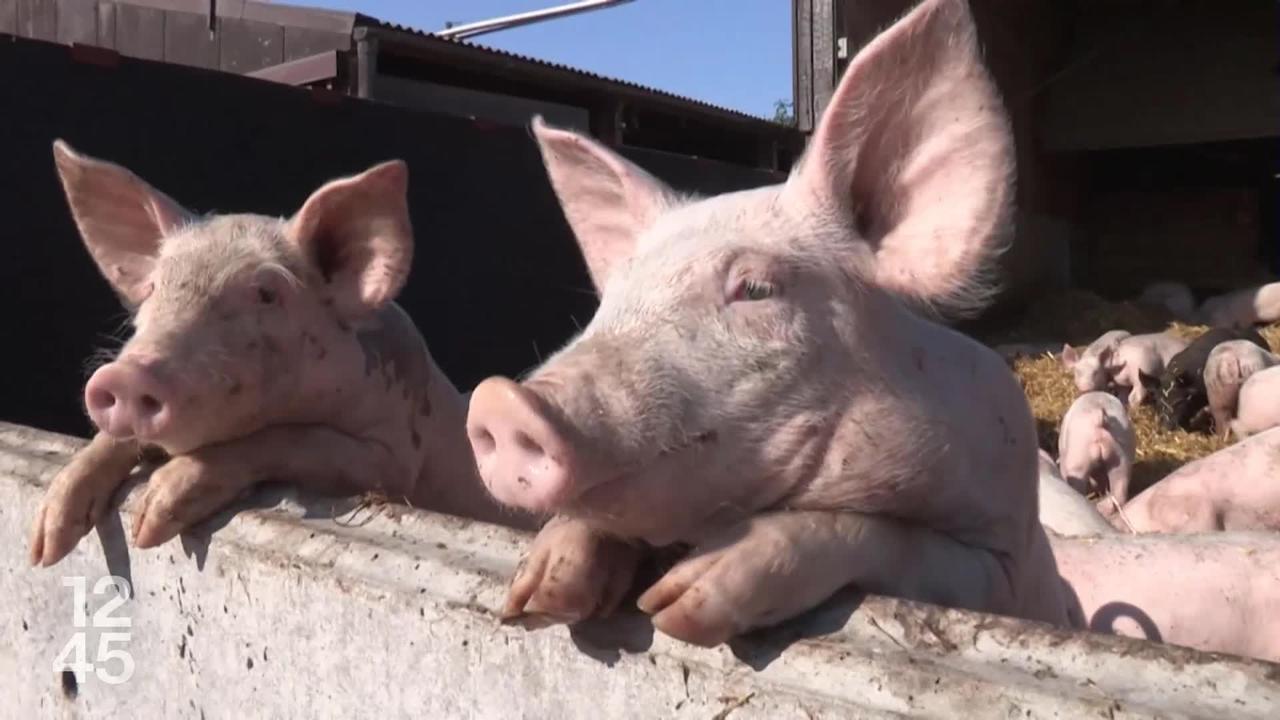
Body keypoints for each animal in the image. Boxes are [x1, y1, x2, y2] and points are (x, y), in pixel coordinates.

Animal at [28, 141, 529, 566]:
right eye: (154, 287)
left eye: (267, 294)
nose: (126, 377)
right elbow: (109, 441)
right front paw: (45, 544)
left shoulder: (393, 457)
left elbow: (289, 439)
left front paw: (150, 522)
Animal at [465, 0, 1075, 645]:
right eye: (615, 296)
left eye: (755, 289)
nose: (500, 402)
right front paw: (531, 598)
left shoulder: (1001, 570)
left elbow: (883, 537)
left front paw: (673, 603)